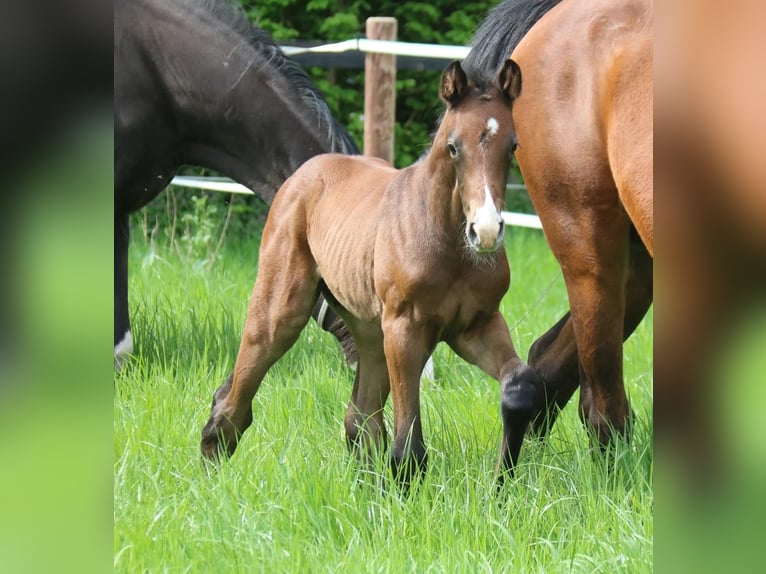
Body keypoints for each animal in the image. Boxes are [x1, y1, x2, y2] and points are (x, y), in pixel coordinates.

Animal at [201, 58, 540, 484]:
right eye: (453, 147)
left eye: (513, 146)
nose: (487, 230)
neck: (449, 244)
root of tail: (304, 172)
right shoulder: (405, 327)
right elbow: (408, 441)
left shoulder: (476, 324)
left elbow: (520, 386)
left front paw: (501, 483)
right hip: (284, 309)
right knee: (240, 389)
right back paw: (212, 462)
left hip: (368, 329)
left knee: (359, 417)